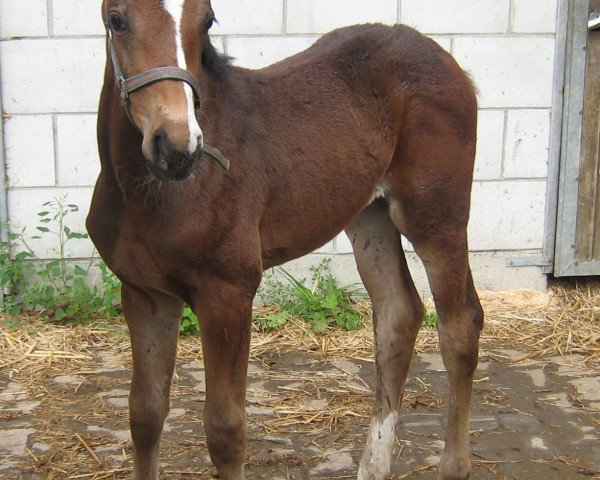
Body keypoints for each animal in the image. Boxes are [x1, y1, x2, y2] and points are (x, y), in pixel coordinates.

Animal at [88, 1, 482, 478]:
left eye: (207, 21)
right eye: (116, 20)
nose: (178, 147)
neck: (145, 193)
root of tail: (445, 59)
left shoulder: (228, 292)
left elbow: (225, 430)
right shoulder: (145, 293)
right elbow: (144, 415)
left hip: (436, 217)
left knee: (459, 325)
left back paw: (454, 465)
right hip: (369, 217)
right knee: (398, 313)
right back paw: (374, 466)